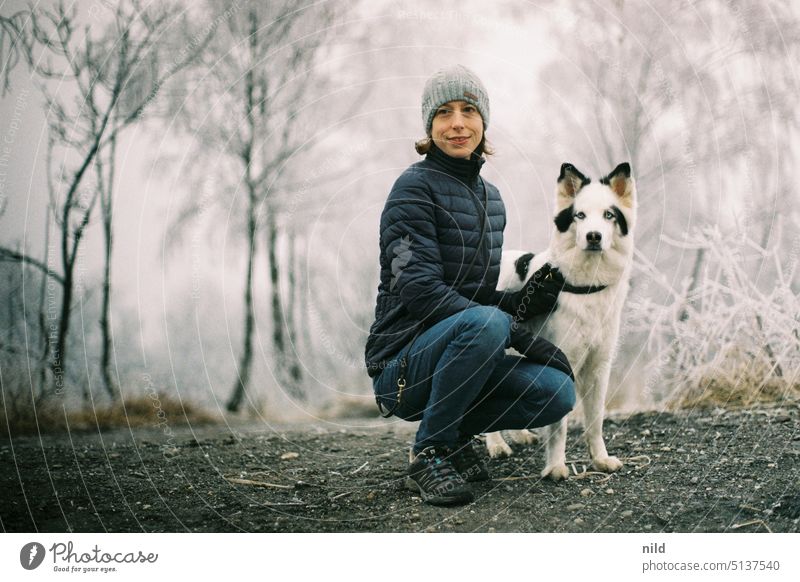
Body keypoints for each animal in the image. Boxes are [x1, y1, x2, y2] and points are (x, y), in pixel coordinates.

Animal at [488, 162, 636, 482]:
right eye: (580, 215)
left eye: (609, 215)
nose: (593, 236)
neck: (587, 286)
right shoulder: (561, 361)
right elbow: (559, 426)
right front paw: (556, 466)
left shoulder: (598, 368)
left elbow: (595, 421)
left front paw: (600, 460)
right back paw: (496, 445)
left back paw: (519, 434)